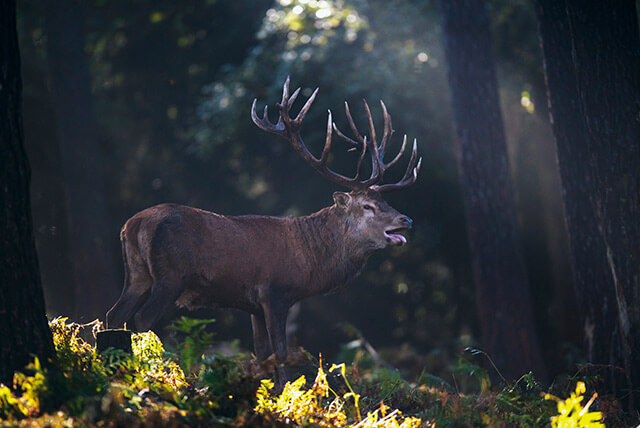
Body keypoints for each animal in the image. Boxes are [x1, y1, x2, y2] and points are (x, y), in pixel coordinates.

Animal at [106, 77, 420, 382]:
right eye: (367, 206)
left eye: (386, 201)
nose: (407, 220)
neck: (309, 261)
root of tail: (133, 225)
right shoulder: (274, 292)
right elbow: (280, 352)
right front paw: (285, 391)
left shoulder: (253, 305)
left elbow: (261, 353)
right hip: (170, 276)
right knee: (143, 319)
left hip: (137, 274)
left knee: (114, 316)